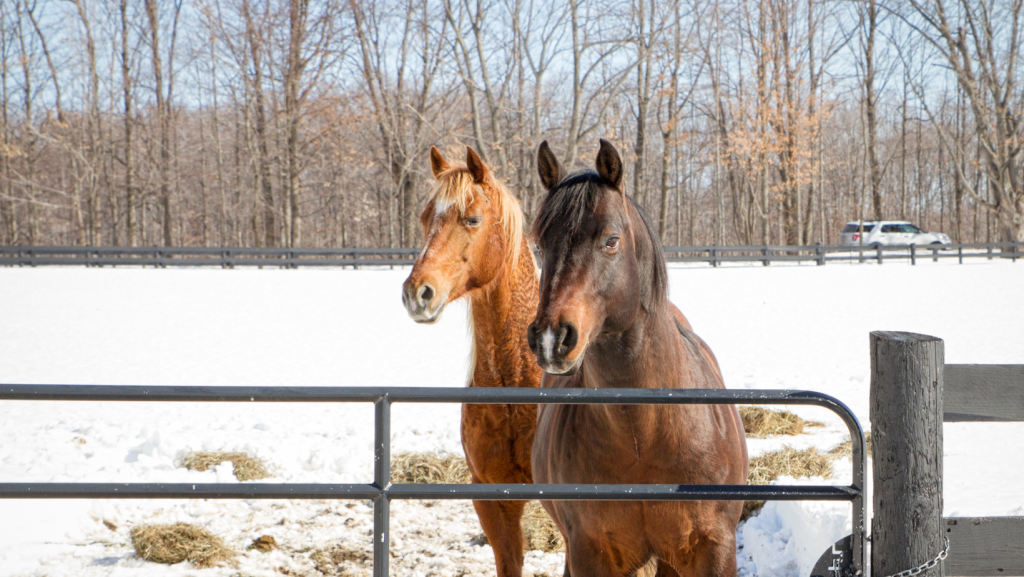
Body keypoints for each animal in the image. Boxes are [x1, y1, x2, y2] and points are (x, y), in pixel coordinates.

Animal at [525, 139, 749, 577]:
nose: (550, 339)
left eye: (611, 240)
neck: (641, 436)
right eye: (539, 245)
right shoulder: (589, 551)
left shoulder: (713, 547)